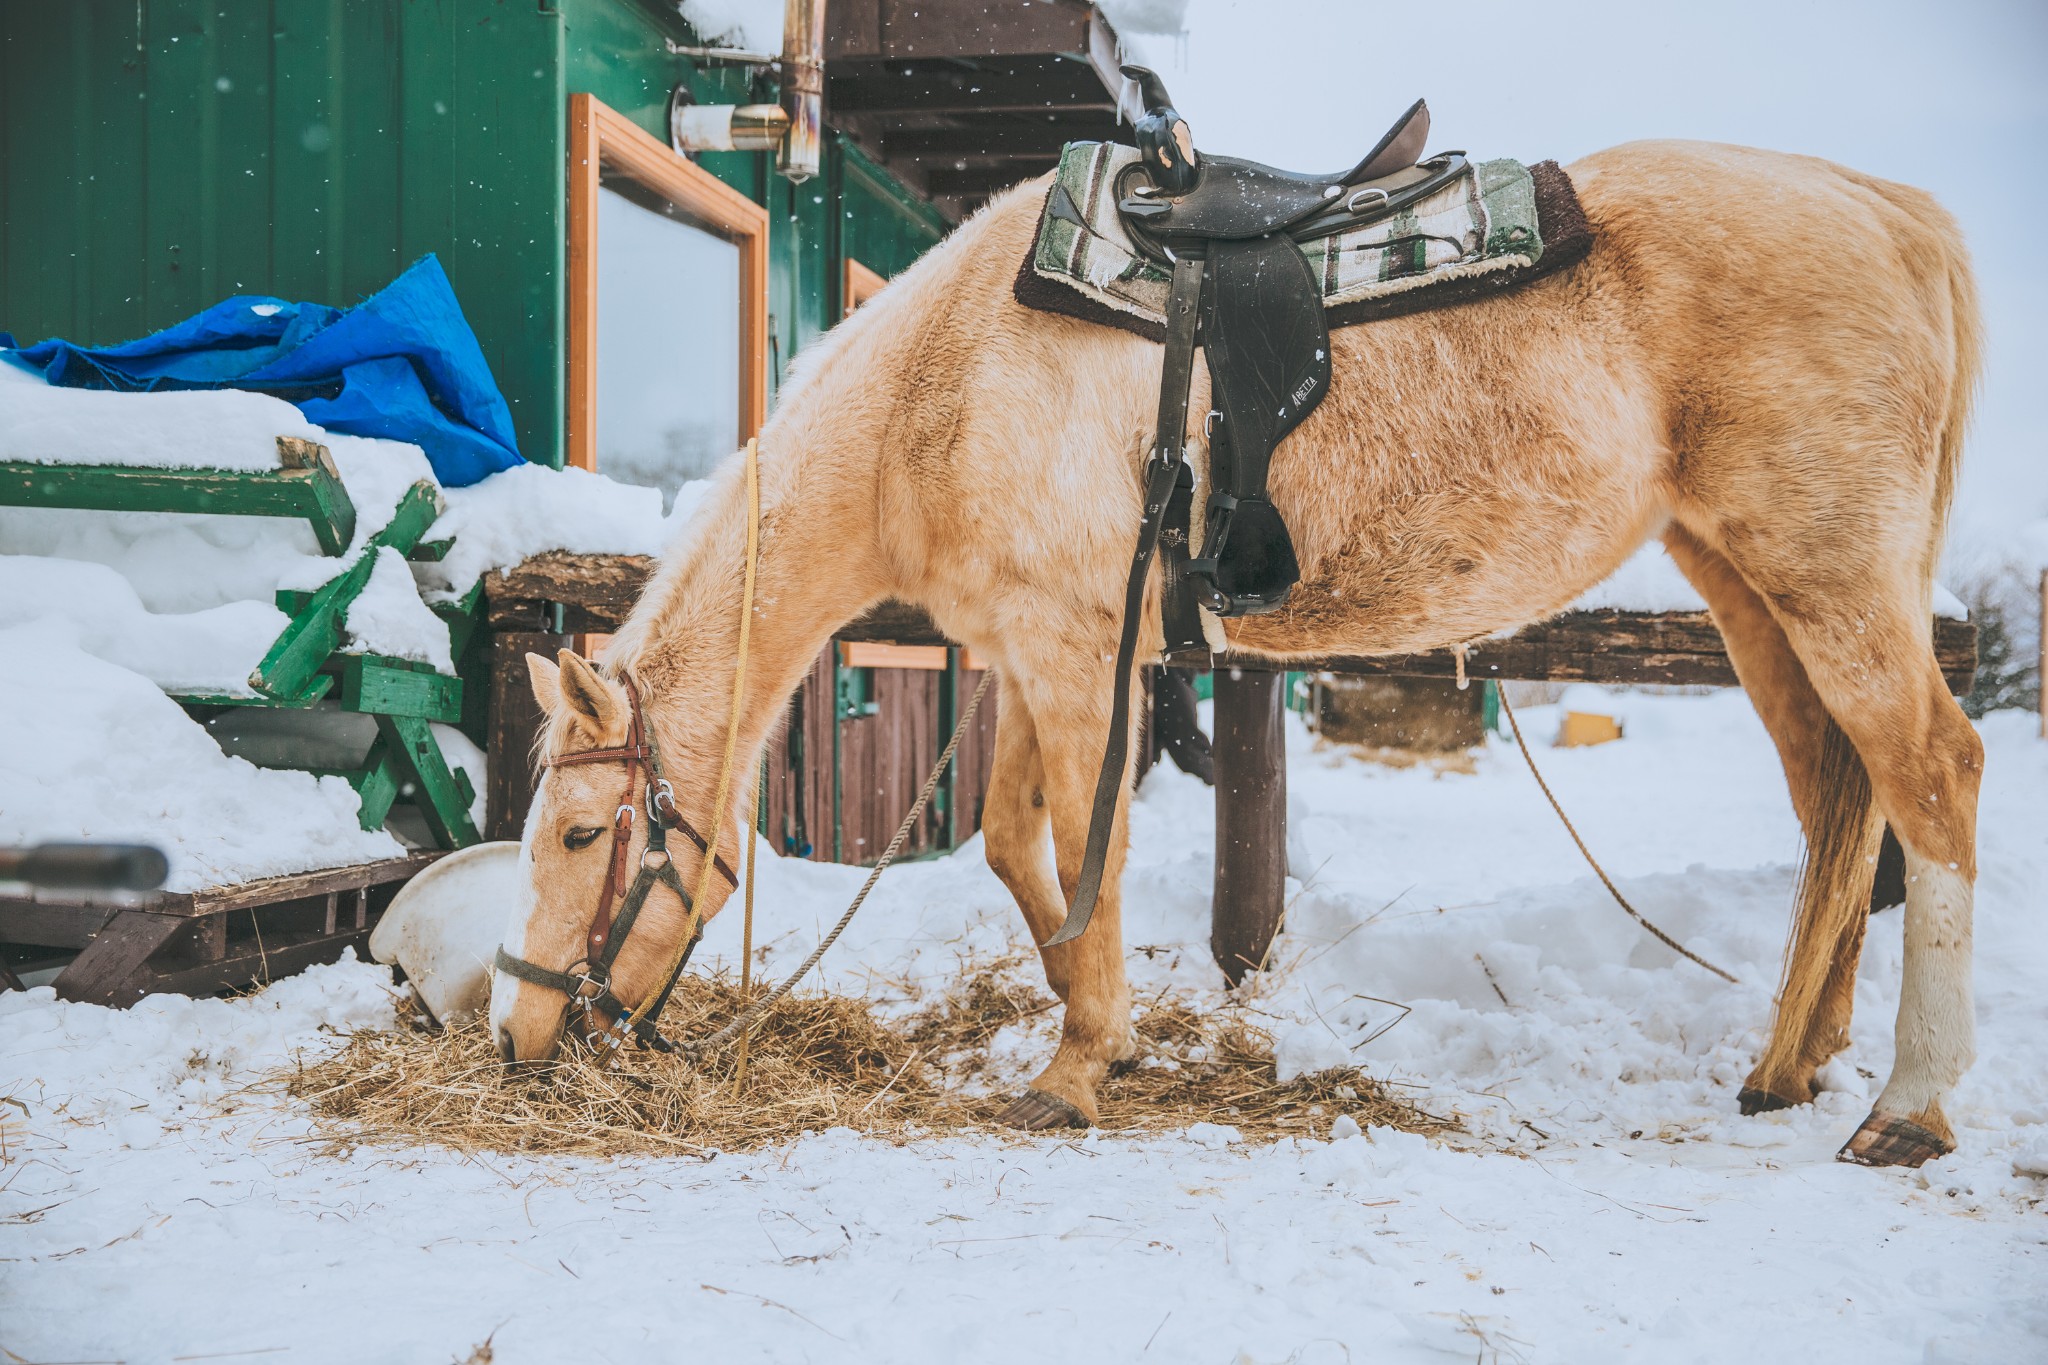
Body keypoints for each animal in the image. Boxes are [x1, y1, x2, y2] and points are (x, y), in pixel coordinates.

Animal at [495, 139, 1982, 1170]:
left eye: (581, 835)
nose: (515, 1042)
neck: (942, 387)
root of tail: (1892, 210)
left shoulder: (1072, 656)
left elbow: (1069, 854)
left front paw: (1075, 1067)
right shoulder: (1043, 652)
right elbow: (1017, 846)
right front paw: (1087, 1017)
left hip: (1828, 580)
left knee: (1932, 778)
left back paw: (1906, 1109)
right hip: (1748, 586)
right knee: (1838, 799)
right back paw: (1790, 1066)